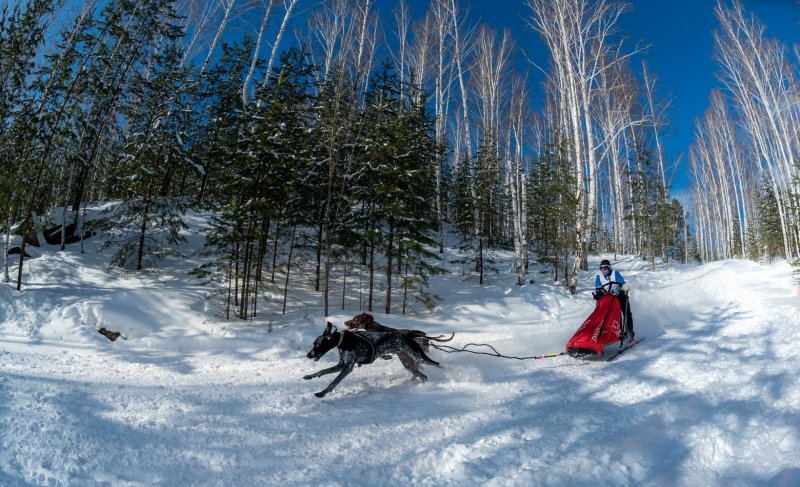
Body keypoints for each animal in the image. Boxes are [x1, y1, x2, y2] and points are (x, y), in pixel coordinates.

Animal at [304, 322, 444, 398]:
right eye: (313, 343)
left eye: (317, 344)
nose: (308, 355)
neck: (344, 341)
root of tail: (408, 335)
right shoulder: (341, 365)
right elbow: (322, 371)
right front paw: (310, 376)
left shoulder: (347, 367)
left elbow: (333, 383)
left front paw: (322, 393)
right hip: (408, 363)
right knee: (423, 376)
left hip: (418, 356)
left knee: (439, 364)